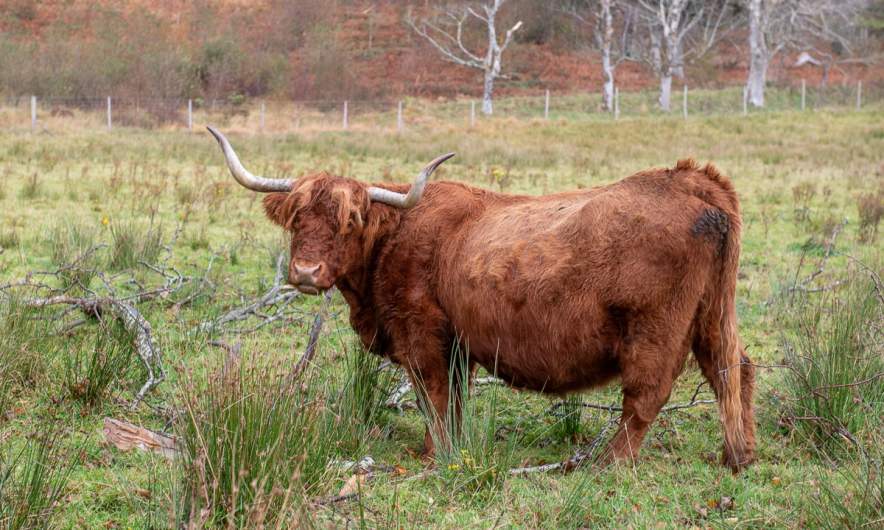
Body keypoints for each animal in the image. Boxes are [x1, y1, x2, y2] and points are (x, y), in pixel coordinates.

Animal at [207, 126, 756, 471]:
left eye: (350, 221)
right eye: (298, 219)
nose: (305, 272)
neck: (396, 238)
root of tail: (690, 179)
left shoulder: (423, 335)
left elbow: (432, 396)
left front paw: (435, 454)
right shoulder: (458, 345)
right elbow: (454, 397)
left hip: (654, 328)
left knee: (647, 394)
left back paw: (609, 464)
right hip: (713, 314)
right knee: (734, 370)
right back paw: (738, 455)